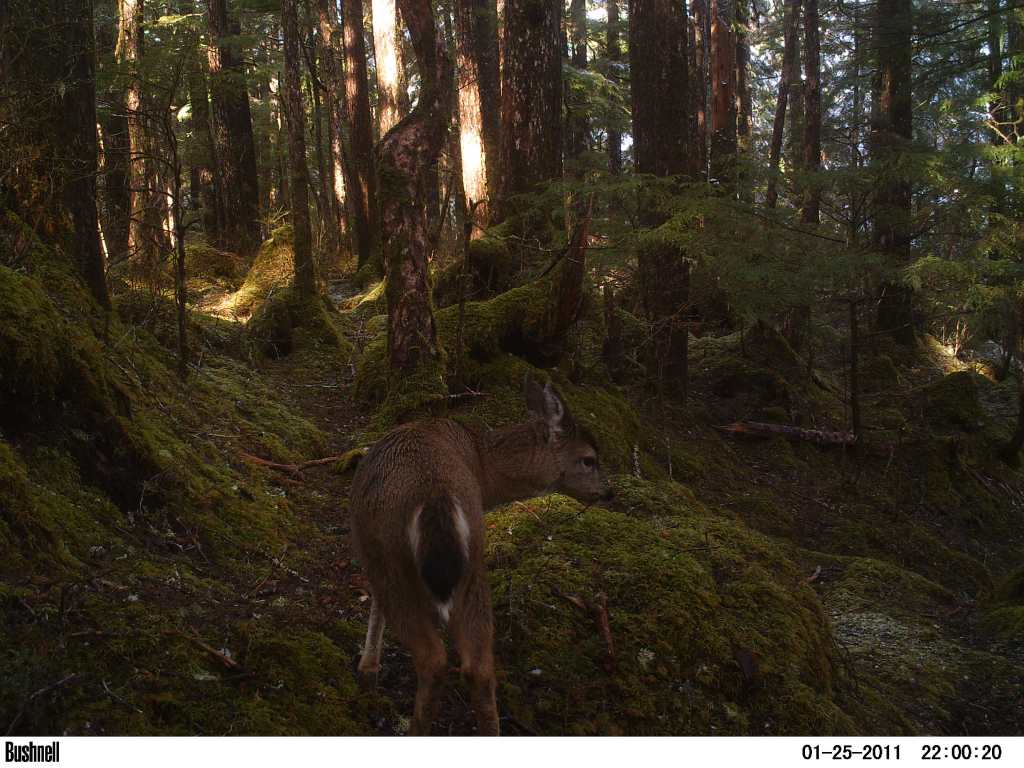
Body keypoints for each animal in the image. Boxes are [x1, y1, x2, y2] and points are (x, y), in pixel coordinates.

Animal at [349, 376, 612, 735]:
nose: (609, 492)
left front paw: (367, 670)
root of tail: (436, 495)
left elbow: (374, 598)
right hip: (473, 560)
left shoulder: (368, 545)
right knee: (480, 667)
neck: (484, 470)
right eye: (589, 459)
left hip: (394, 557)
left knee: (433, 659)